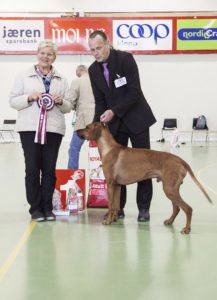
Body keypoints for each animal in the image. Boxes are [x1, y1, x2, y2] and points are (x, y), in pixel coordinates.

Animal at [77, 122, 212, 234]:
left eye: (87, 127)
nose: (76, 131)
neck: (108, 148)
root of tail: (180, 159)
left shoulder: (110, 185)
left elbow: (110, 206)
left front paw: (108, 221)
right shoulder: (117, 185)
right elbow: (115, 205)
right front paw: (114, 218)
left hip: (169, 189)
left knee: (188, 209)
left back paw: (187, 229)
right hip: (172, 189)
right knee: (177, 208)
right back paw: (169, 221)